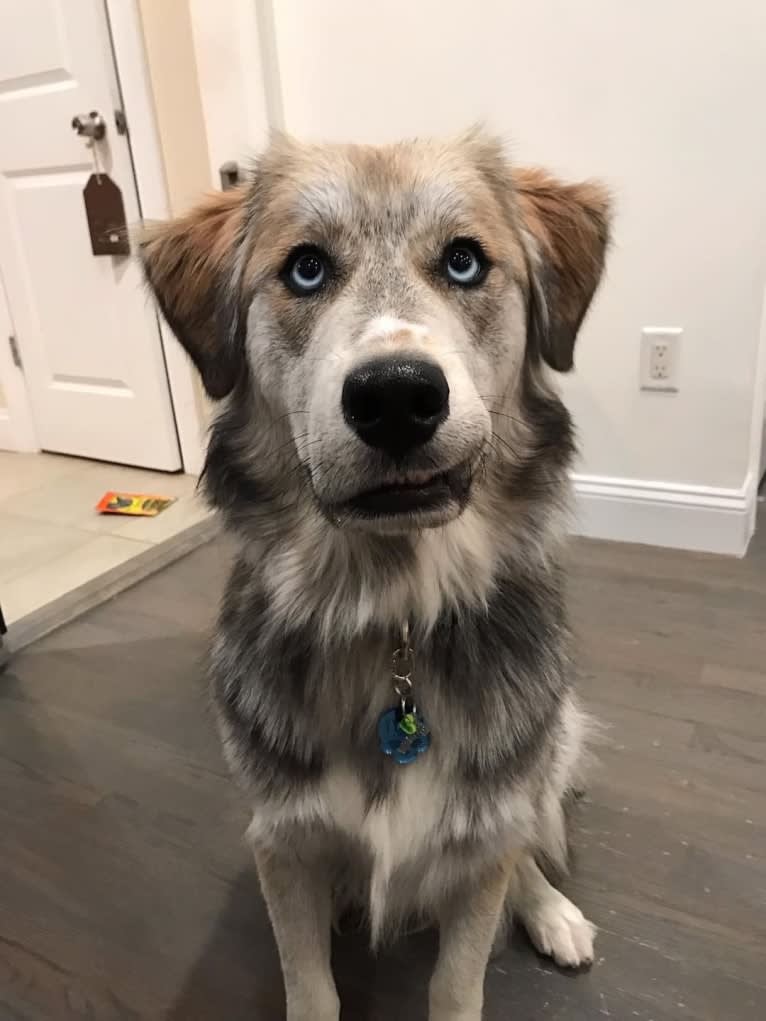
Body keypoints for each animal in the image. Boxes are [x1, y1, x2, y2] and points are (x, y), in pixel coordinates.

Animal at [142, 131, 612, 1021]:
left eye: (464, 261)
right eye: (305, 269)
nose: (397, 397)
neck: (392, 612)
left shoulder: (478, 845)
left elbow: (459, 979)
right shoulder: (284, 844)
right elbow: (310, 986)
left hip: (546, 743)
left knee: (526, 842)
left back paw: (550, 909)